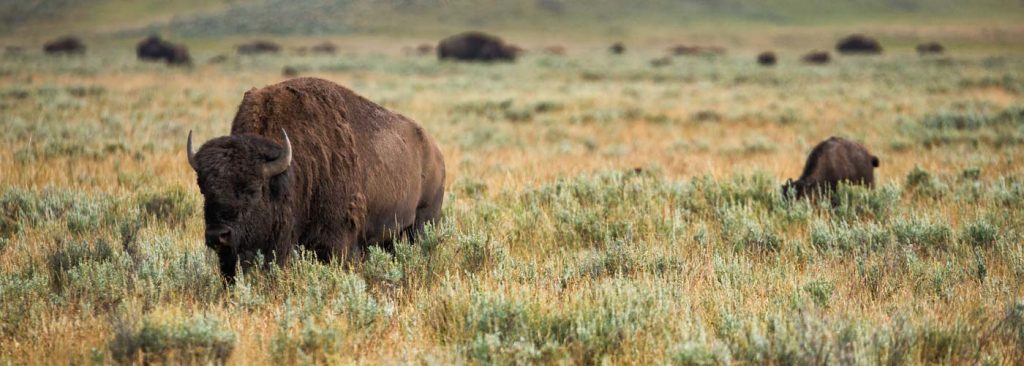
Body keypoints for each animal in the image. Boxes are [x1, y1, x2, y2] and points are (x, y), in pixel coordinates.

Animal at [186, 76, 446, 278]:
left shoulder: (338, 241)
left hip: (422, 223)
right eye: (203, 188)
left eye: (252, 189)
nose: (217, 235)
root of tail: (434, 151)